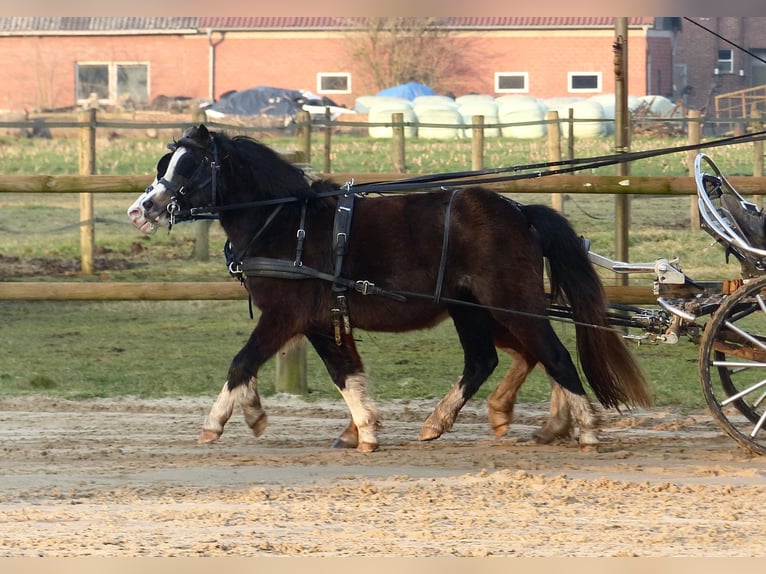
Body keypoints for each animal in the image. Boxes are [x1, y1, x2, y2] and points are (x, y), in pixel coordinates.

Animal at [127, 126, 656, 454]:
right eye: (166, 163)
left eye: (190, 166)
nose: (141, 209)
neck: (286, 222)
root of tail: (520, 211)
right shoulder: (318, 320)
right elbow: (345, 373)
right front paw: (357, 430)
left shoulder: (286, 314)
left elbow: (243, 362)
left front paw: (215, 423)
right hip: (474, 308)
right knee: (494, 359)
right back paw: (469, 421)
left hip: (510, 303)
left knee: (553, 356)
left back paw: (585, 429)